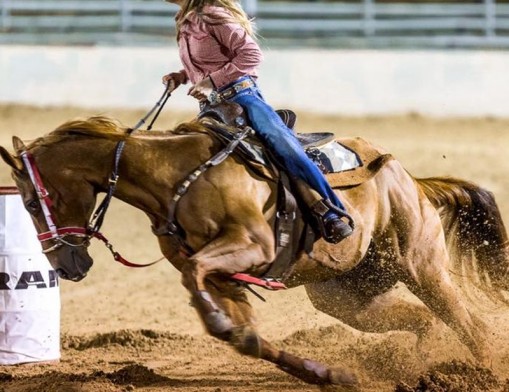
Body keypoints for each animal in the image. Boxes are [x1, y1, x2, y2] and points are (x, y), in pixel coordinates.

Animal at [0, 115, 506, 388]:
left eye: (32, 202)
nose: (67, 264)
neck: (176, 177)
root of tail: (409, 179)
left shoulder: (249, 247)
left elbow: (202, 284)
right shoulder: (224, 277)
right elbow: (244, 336)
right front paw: (328, 375)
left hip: (421, 266)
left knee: (471, 325)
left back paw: (479, 374)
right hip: (349, 296)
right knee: (423, 322)